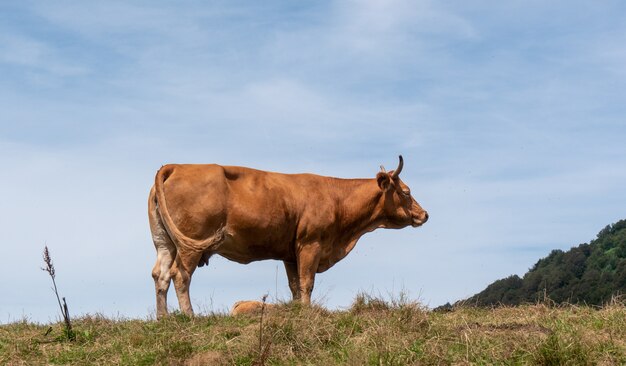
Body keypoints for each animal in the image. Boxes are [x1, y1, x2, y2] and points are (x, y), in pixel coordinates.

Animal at [149, 156, 426, 318]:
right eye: (406, 191)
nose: (424, 214)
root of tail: (176, 167)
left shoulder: (290, 253)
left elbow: (294, 285)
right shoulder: (310, 244)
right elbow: (307, 283)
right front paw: (307, 313)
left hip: (165, 242)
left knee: (160, 275)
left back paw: (163, 319)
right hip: (191, 245)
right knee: (180, 275)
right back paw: (189, 317)